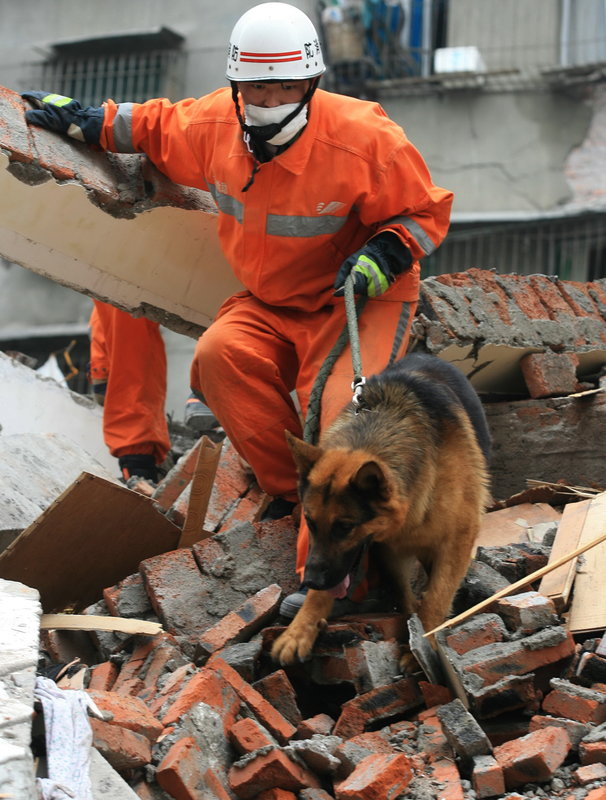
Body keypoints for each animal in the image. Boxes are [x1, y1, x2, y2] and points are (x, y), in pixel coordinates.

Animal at [274, 354, 492, 668]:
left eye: (345, 527)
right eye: (310, 523)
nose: (311, 580)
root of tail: (425, 355)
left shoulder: (457, 540)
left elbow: (437, 597)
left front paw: (423, 646)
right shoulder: (389, 550)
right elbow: (404, 595)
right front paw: (300, 630)